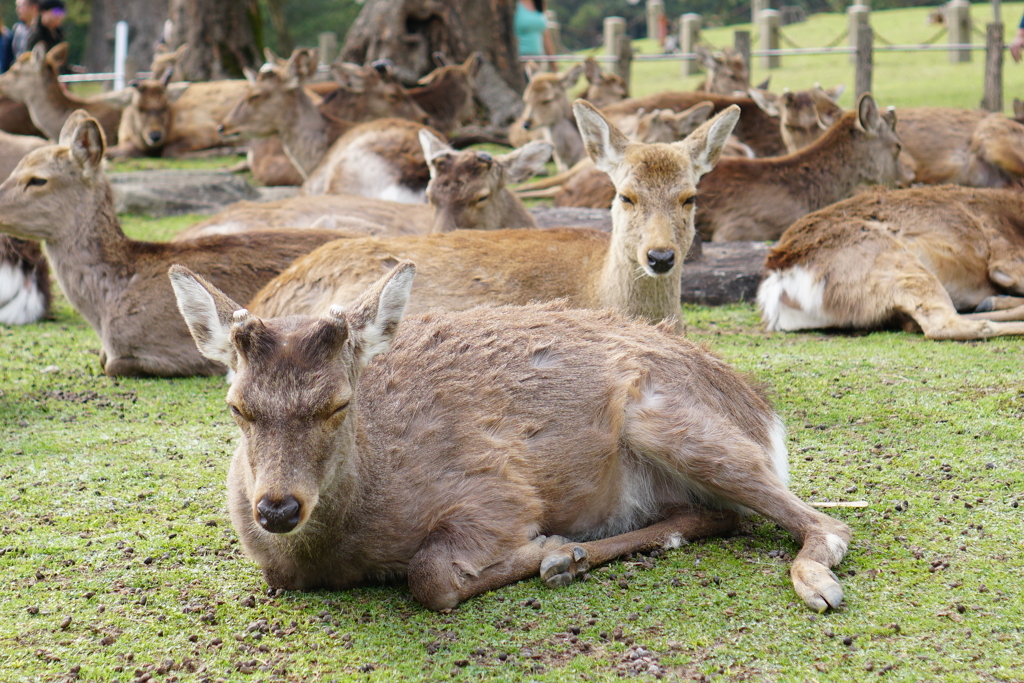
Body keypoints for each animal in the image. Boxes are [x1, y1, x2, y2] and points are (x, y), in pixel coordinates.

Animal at [169, 259, 856, 610]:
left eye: (338, 403)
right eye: (237, 407)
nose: (277, 508)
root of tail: (761, 413)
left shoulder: (496, 489)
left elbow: (431, 577)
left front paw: (548, 546)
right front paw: (559, 552)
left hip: (674, 421)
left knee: (827, 522)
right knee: (718, 516)